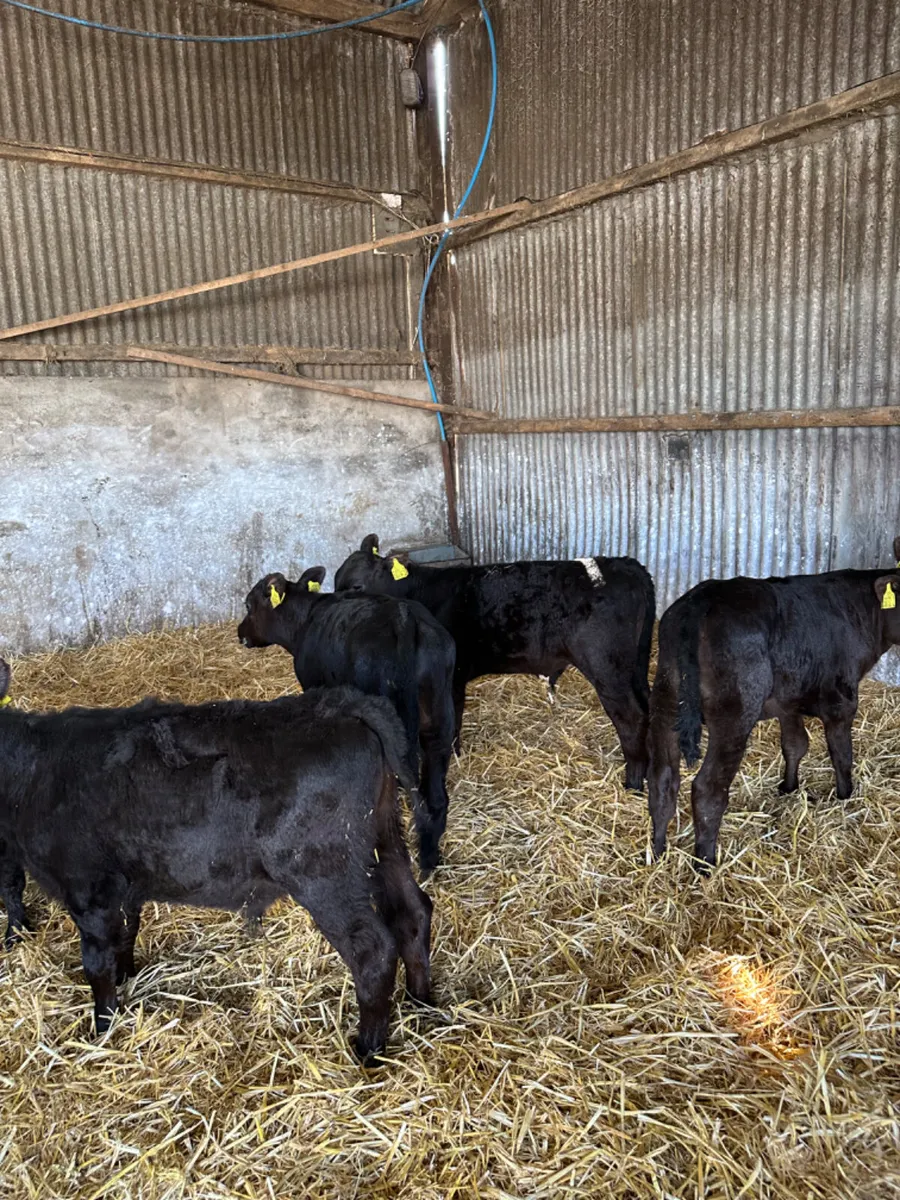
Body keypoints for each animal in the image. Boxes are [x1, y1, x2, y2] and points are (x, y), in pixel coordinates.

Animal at [0, 659, 432, 1064]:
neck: (31, 772)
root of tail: (338, 704)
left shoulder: (88, 889)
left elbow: (96, 962)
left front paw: (103, 1027)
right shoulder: (125, 885)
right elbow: (125, 935)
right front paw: (127, 978)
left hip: (325, 873)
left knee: (372, 949)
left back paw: (369, 1048)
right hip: (385, 842)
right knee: (413, 912)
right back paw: (422, 1004)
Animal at [238, 568, 456, 874]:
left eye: (249, 605)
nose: (240, 632)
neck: (305, 619)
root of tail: (402, 617)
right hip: (439, 717)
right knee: (435, 794)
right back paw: (429, 859)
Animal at [334, 535, 656, 790]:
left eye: (357, 586)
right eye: (335, 583)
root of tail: (625, 565)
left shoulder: (451, 677)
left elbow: (452, 719)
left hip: (607, 668)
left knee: (631, 718)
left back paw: (633, 783)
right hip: (634, 668)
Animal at [647, 540, 900, 871]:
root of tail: (700, 602)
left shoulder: (787, 702)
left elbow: (795, 745)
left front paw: (788, 787)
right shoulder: (841, 701)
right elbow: (841, 755)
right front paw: (846, 797)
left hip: (665, 701)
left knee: (663, 779)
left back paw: (657, 851)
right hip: (735, 714)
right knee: (707, 788)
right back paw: (705, 863)